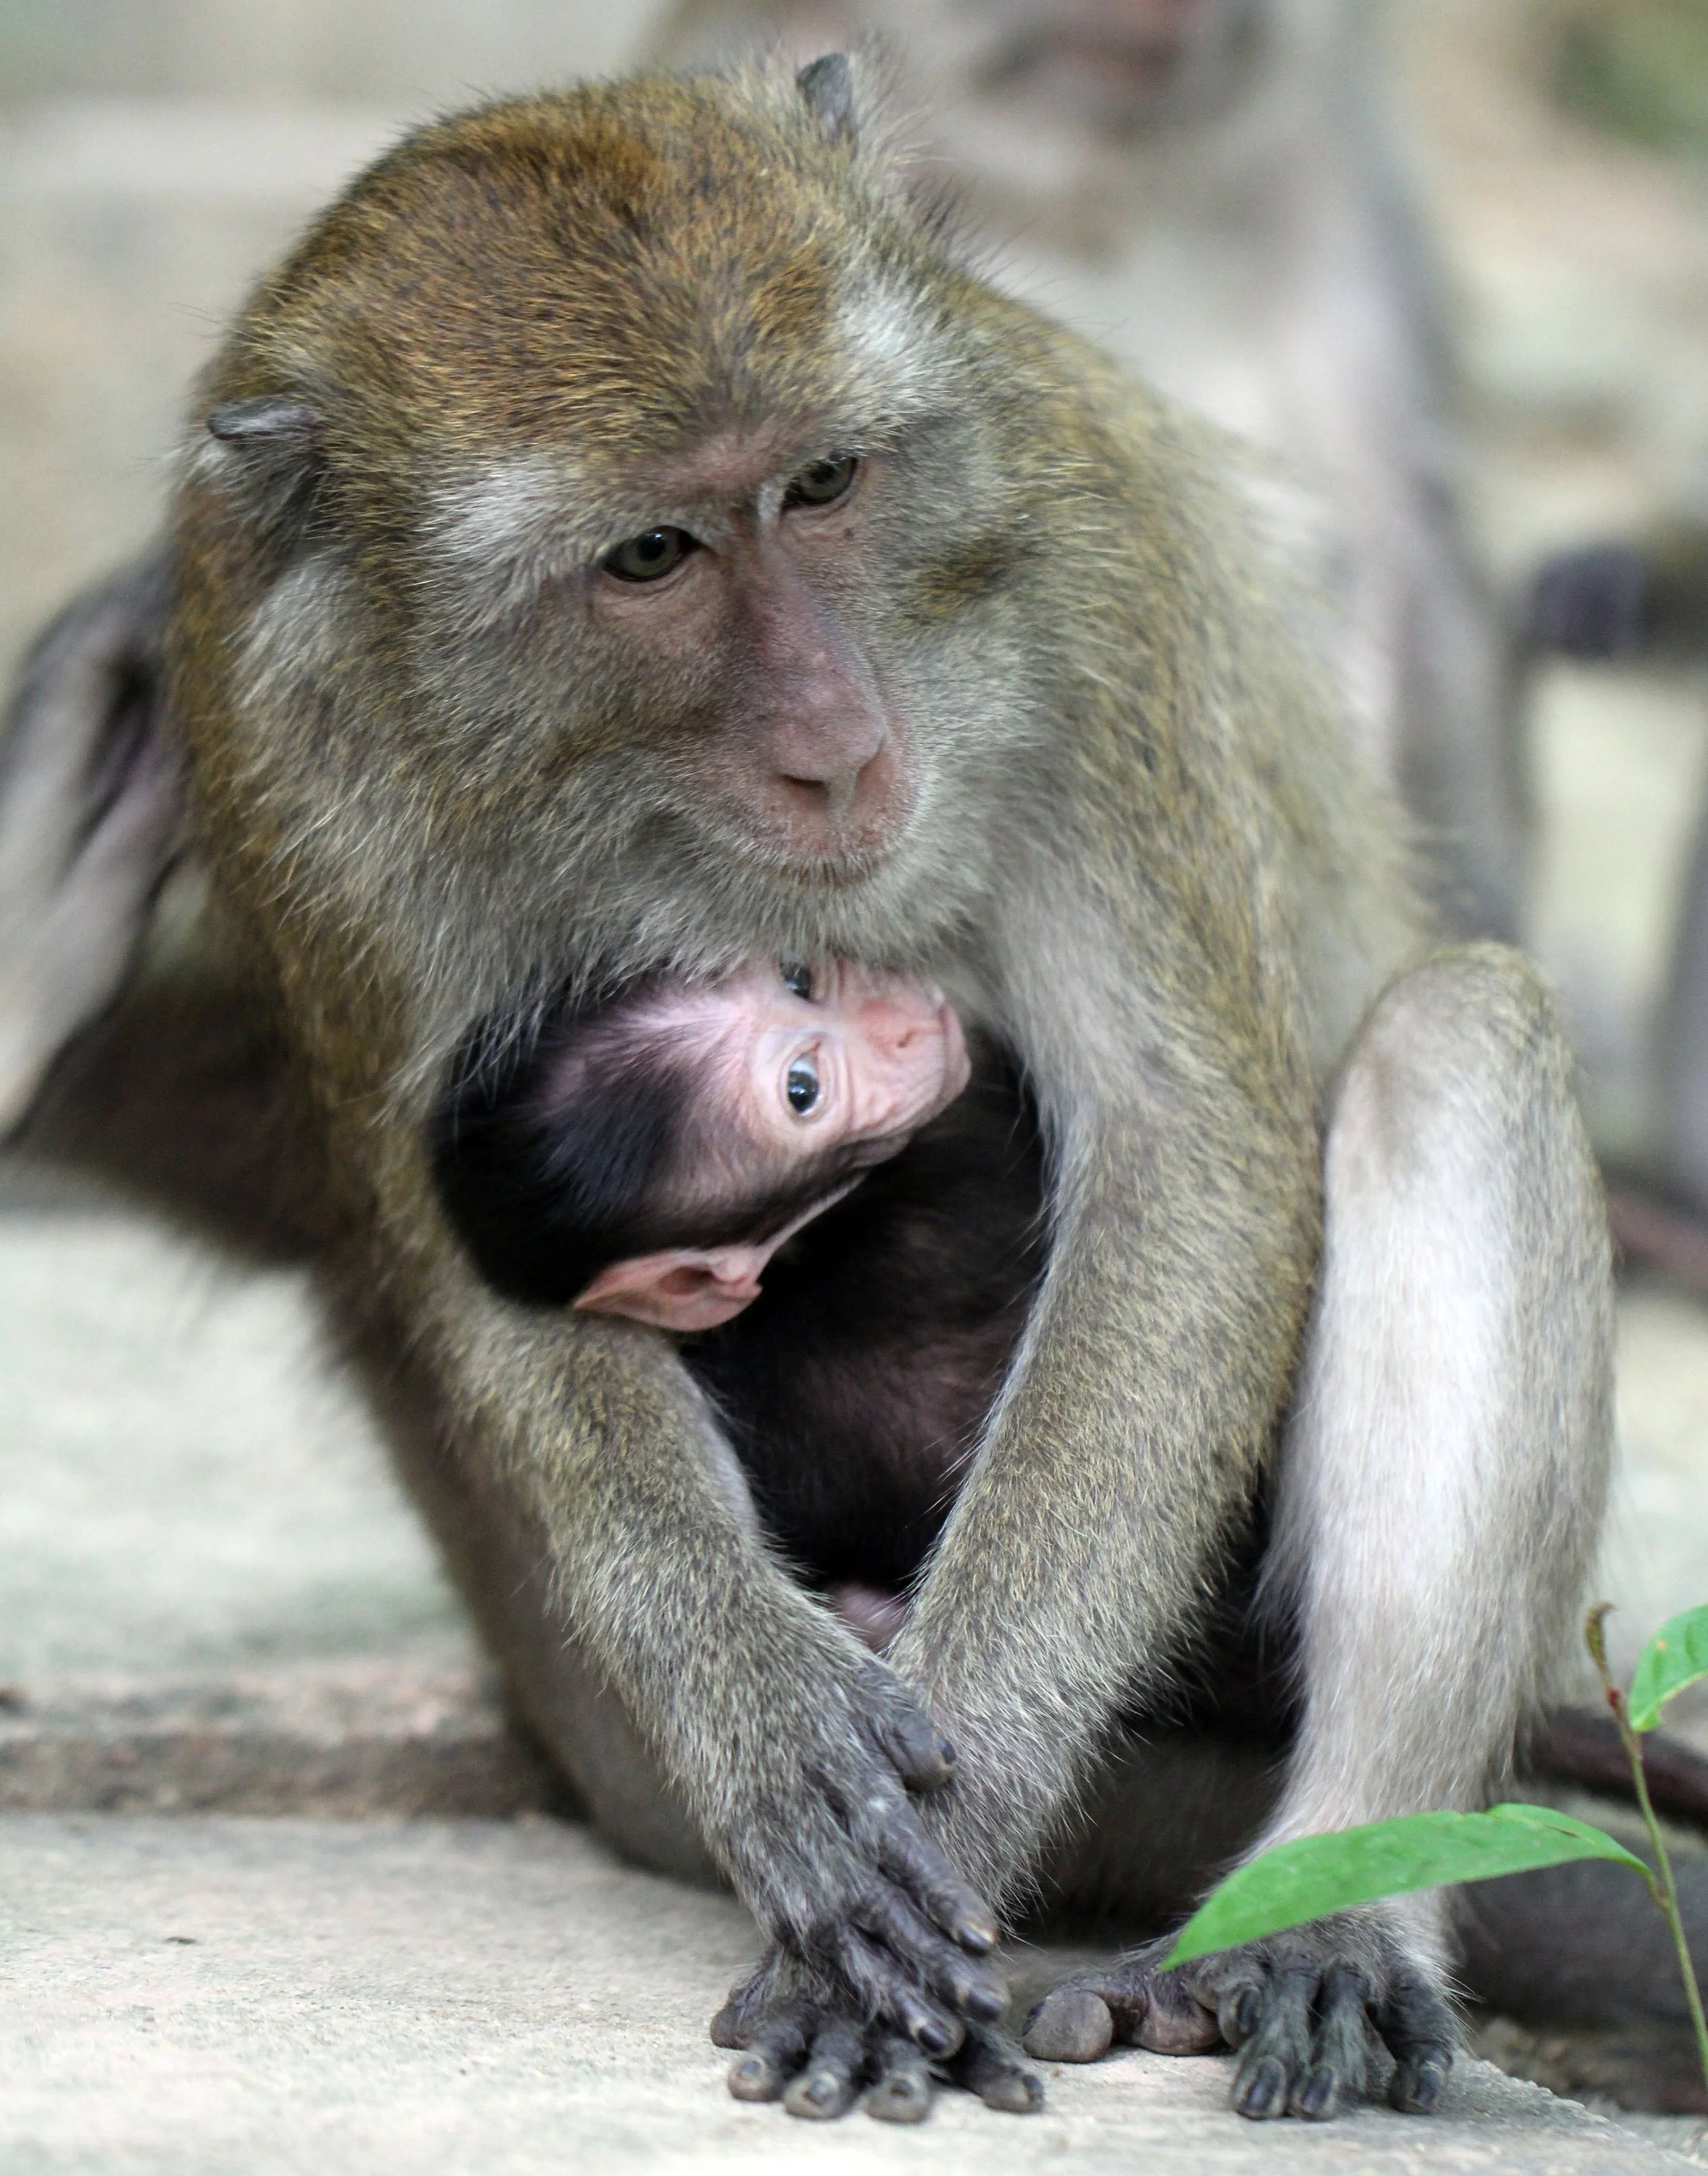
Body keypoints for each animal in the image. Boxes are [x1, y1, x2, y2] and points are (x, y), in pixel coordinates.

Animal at [102, 52, 1615, 2131]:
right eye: (650, 557)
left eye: (820, 486)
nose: (839, 739)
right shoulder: (289, 748)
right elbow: (473, 1260)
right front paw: (766, 1729)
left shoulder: (1087, 589)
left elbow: (1184, 1153)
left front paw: (962, 1785)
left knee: (1454, 1034)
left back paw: (1330, 1909)